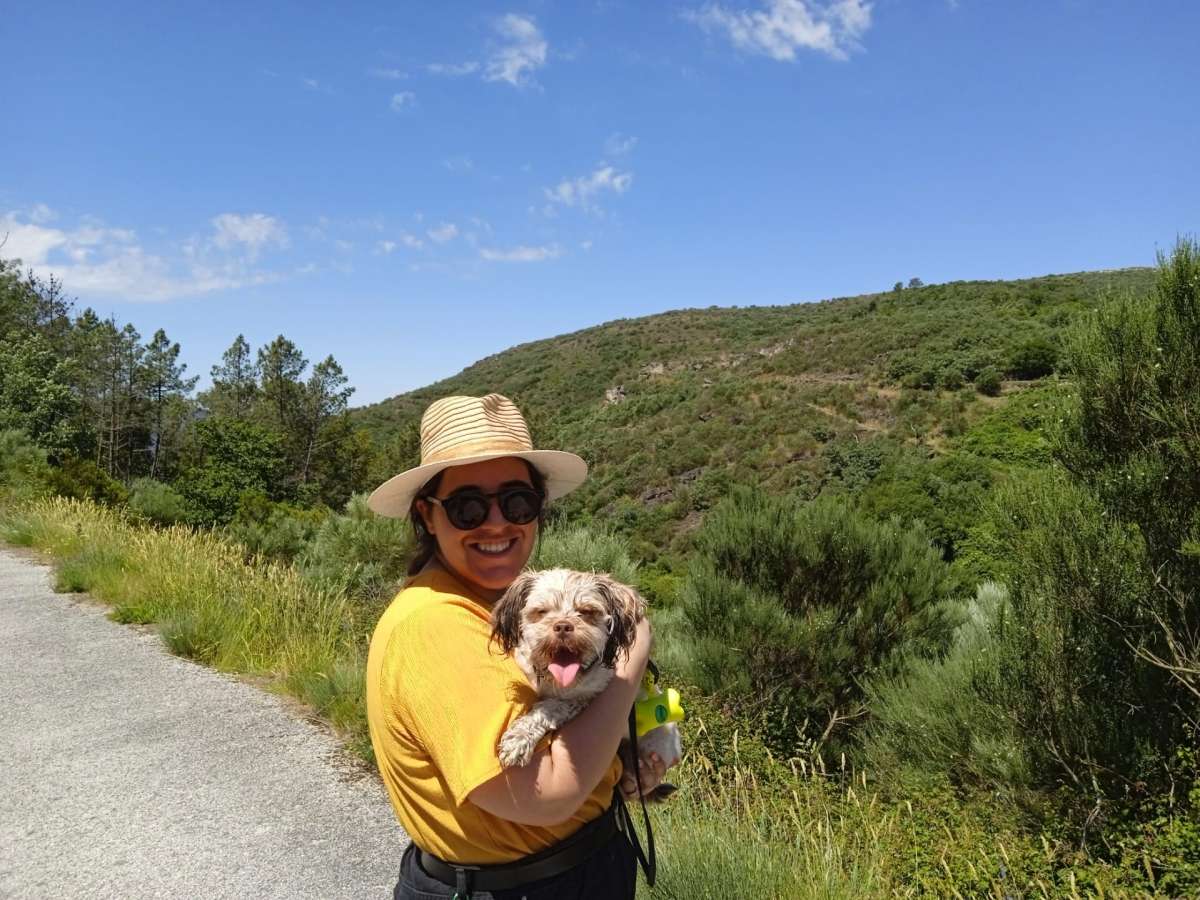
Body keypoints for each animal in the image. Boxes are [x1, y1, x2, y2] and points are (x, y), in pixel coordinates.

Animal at [484, 571, 676, 787]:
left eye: (586, 611)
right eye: (542, 611)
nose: (562, 626)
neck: (556, 682)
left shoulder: (585, 697)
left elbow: (550, 708)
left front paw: (518, 739)